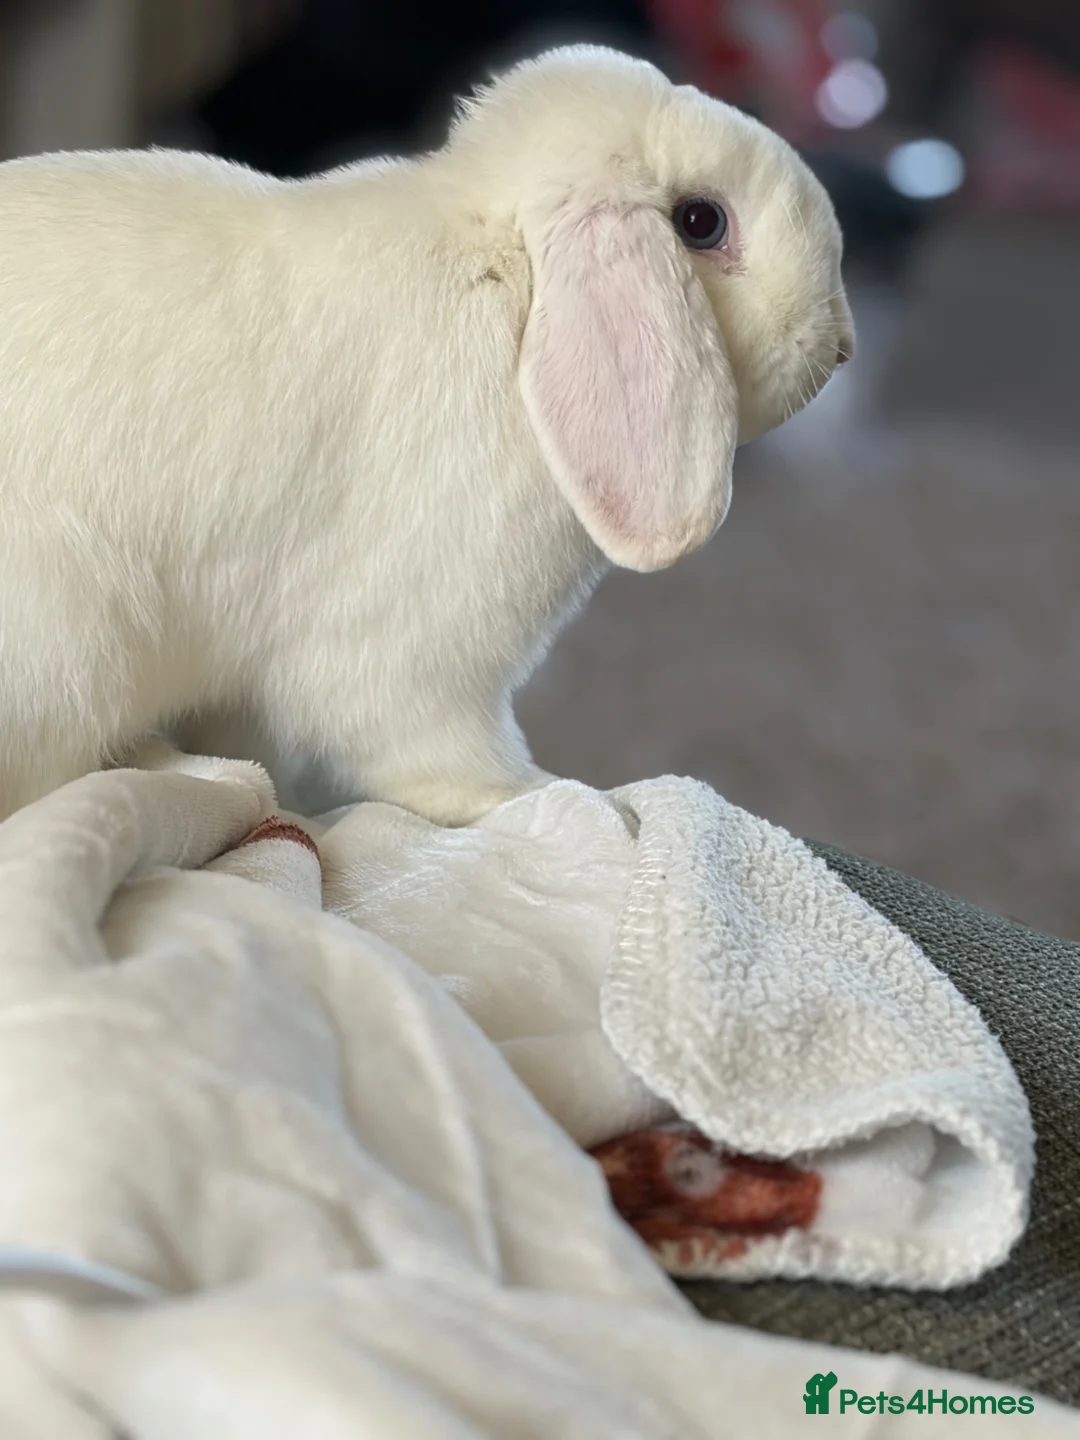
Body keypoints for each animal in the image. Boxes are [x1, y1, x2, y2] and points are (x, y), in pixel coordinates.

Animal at [0, 44, 853, 827]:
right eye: (700, 222)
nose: (841, 346)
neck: (511, 274)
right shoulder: (423, 652)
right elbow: (435, 757)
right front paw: (571, 801)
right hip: (76, 653)